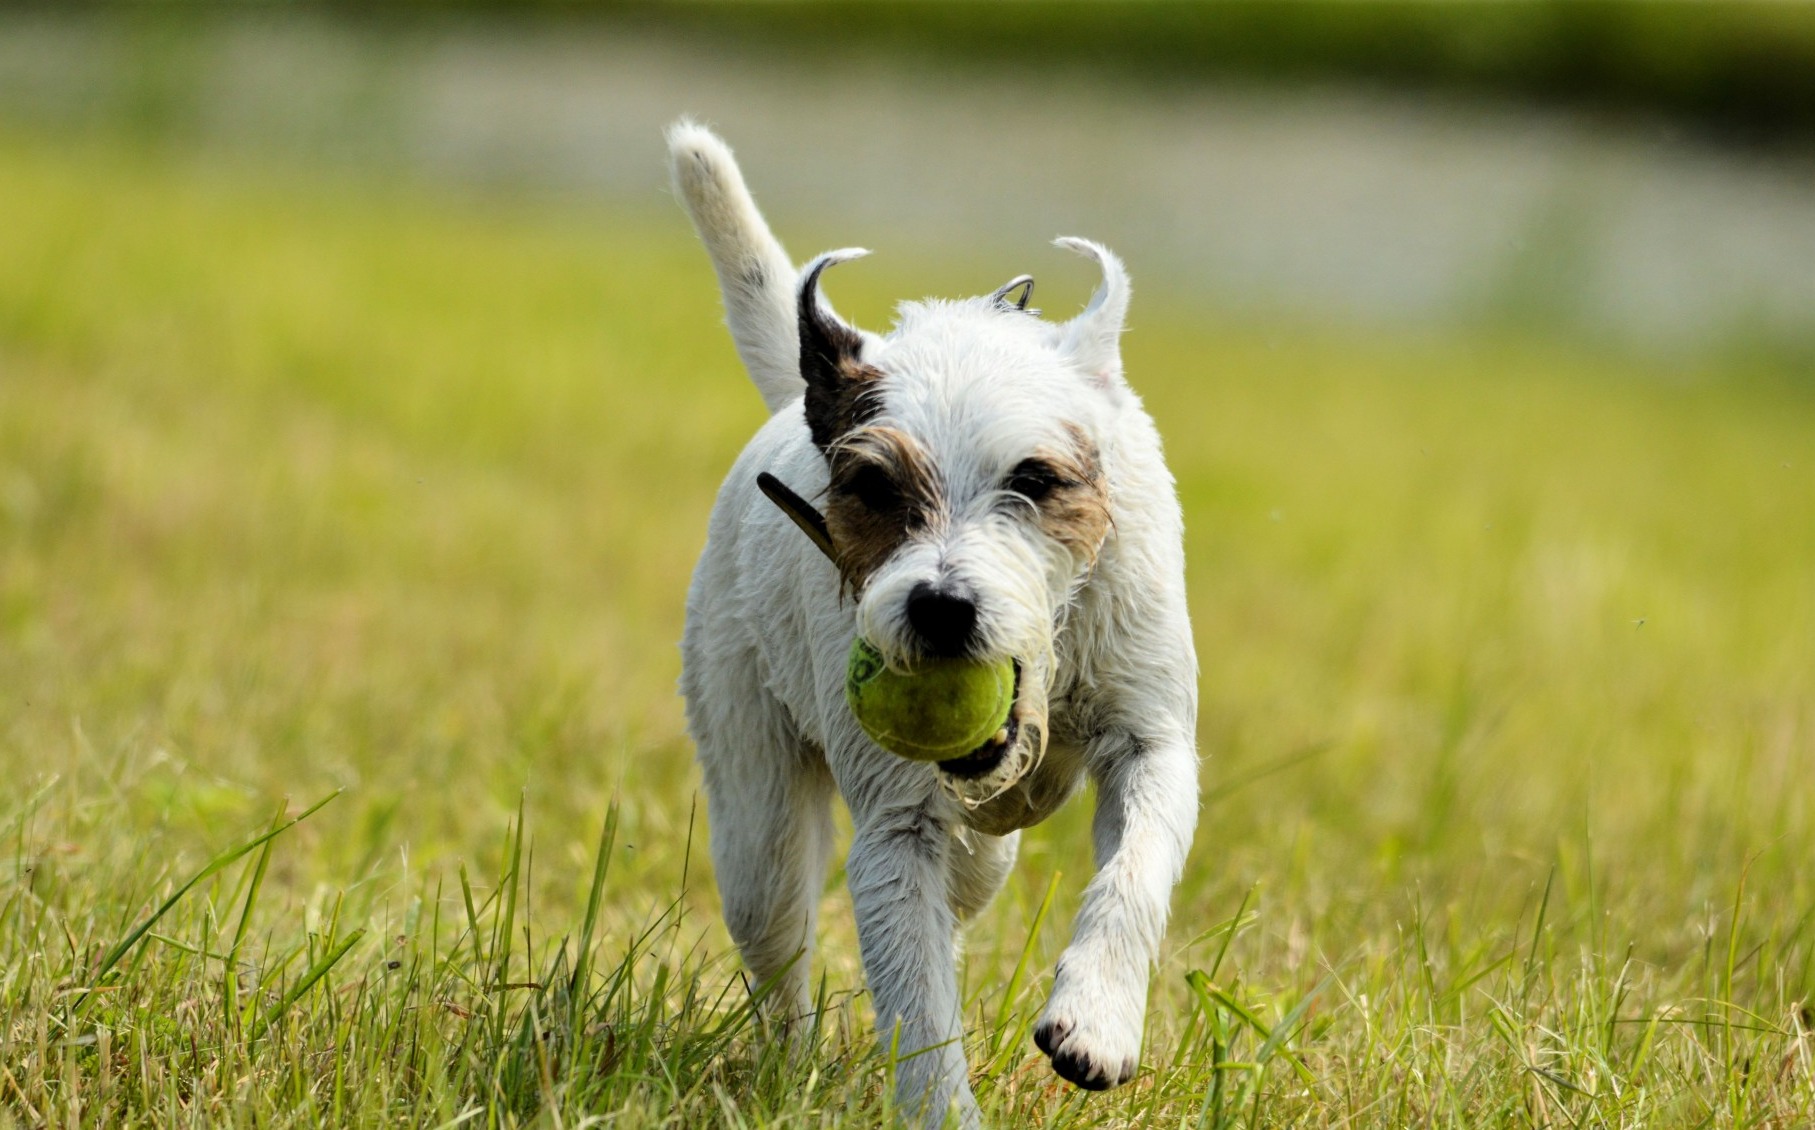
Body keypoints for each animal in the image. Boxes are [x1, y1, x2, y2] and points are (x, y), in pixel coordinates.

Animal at [675, 119, 1197, 1124]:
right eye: (873, 487)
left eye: (1034, 479)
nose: (942, 607)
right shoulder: (897, 831)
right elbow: (917, 1003)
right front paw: (940, 1107)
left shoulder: (1151, 739)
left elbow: (1133, 873)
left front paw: (1097, 1018)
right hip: (757, 832)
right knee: (780, 945)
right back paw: (789, 1070)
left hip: (982, 850)